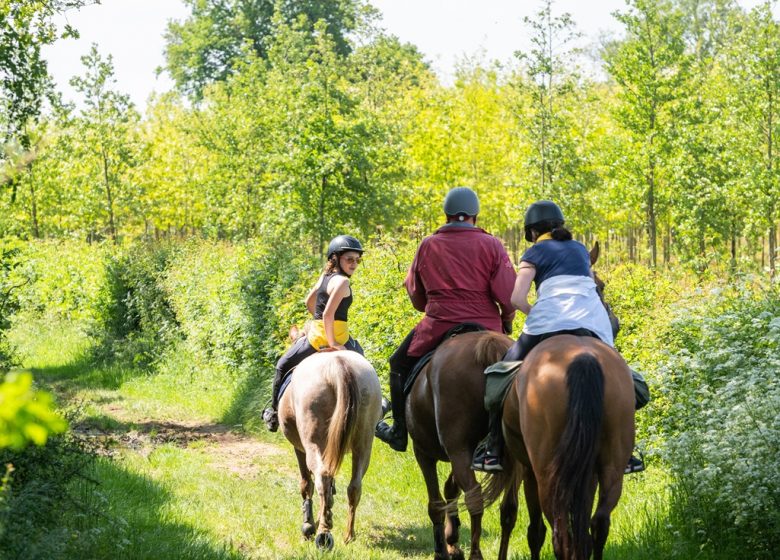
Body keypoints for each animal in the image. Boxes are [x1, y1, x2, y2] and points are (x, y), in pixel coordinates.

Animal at [278, 344, 382, 548]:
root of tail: (339, 365)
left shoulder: (300, 449)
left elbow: (306, 484)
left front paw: (309, 525)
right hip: (364, 442)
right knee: (354, 486)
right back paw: (348, 535)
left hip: (313, 440)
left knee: (322, 479)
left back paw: (323, 533)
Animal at [406, 330, 520, 556]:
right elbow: (451, 489)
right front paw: (452, 540)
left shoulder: (423, 452)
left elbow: (436, 504)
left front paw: (443, 550)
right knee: (509, 508)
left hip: (456, 449)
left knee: (474, 498)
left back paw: (475, 554)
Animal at [484, 336, 636, 560]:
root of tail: (583, 358)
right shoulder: (587, 474)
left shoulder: (530, 471)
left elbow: (536, 531)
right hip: (612, 466)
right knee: (599, 523)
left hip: (548, 477)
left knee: (560, 535)